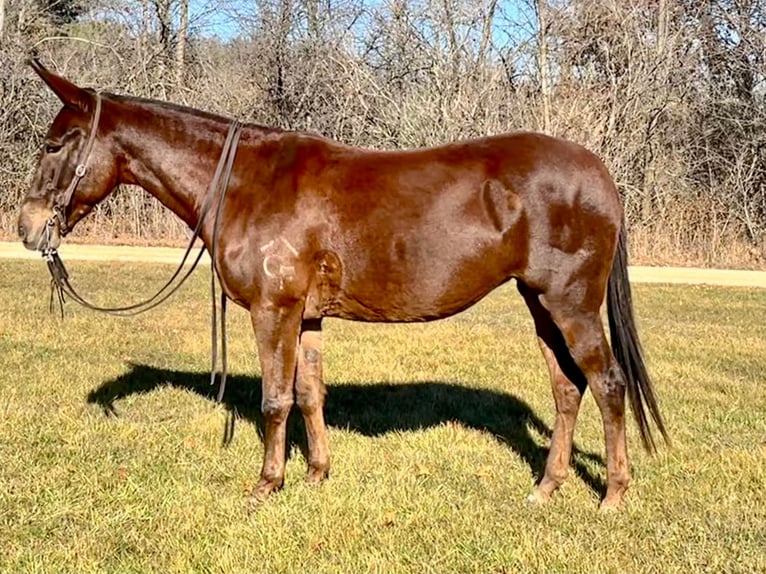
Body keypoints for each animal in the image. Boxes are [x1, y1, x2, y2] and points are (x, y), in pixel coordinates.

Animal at [16, 59, 664, 508]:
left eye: (53, 144)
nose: (25, 227)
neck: (245, 182)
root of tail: (600, 174)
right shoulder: (305, 315)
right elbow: (309, 394)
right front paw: (315, 474)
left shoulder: (272, 310)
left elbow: (275, 399)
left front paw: (266, 485)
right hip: (541, 304)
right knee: (566, 389)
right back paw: (546, 488)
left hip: (571, 304)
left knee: (606, 384)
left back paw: (612, 495)